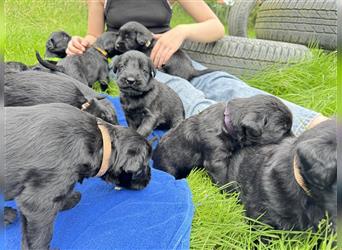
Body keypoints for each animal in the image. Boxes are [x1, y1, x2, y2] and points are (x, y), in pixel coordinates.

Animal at [4, 102, 151, 249]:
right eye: (142, 168)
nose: (149, 179)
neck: (102, 144)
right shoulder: (38, 202)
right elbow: (40, 236)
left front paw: (68, 200)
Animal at [154, 94, 292, 187]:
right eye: (283, 130)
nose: (293, 139)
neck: (226, 123)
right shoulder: (216, 158)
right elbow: (224, 179)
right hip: (169, 167)